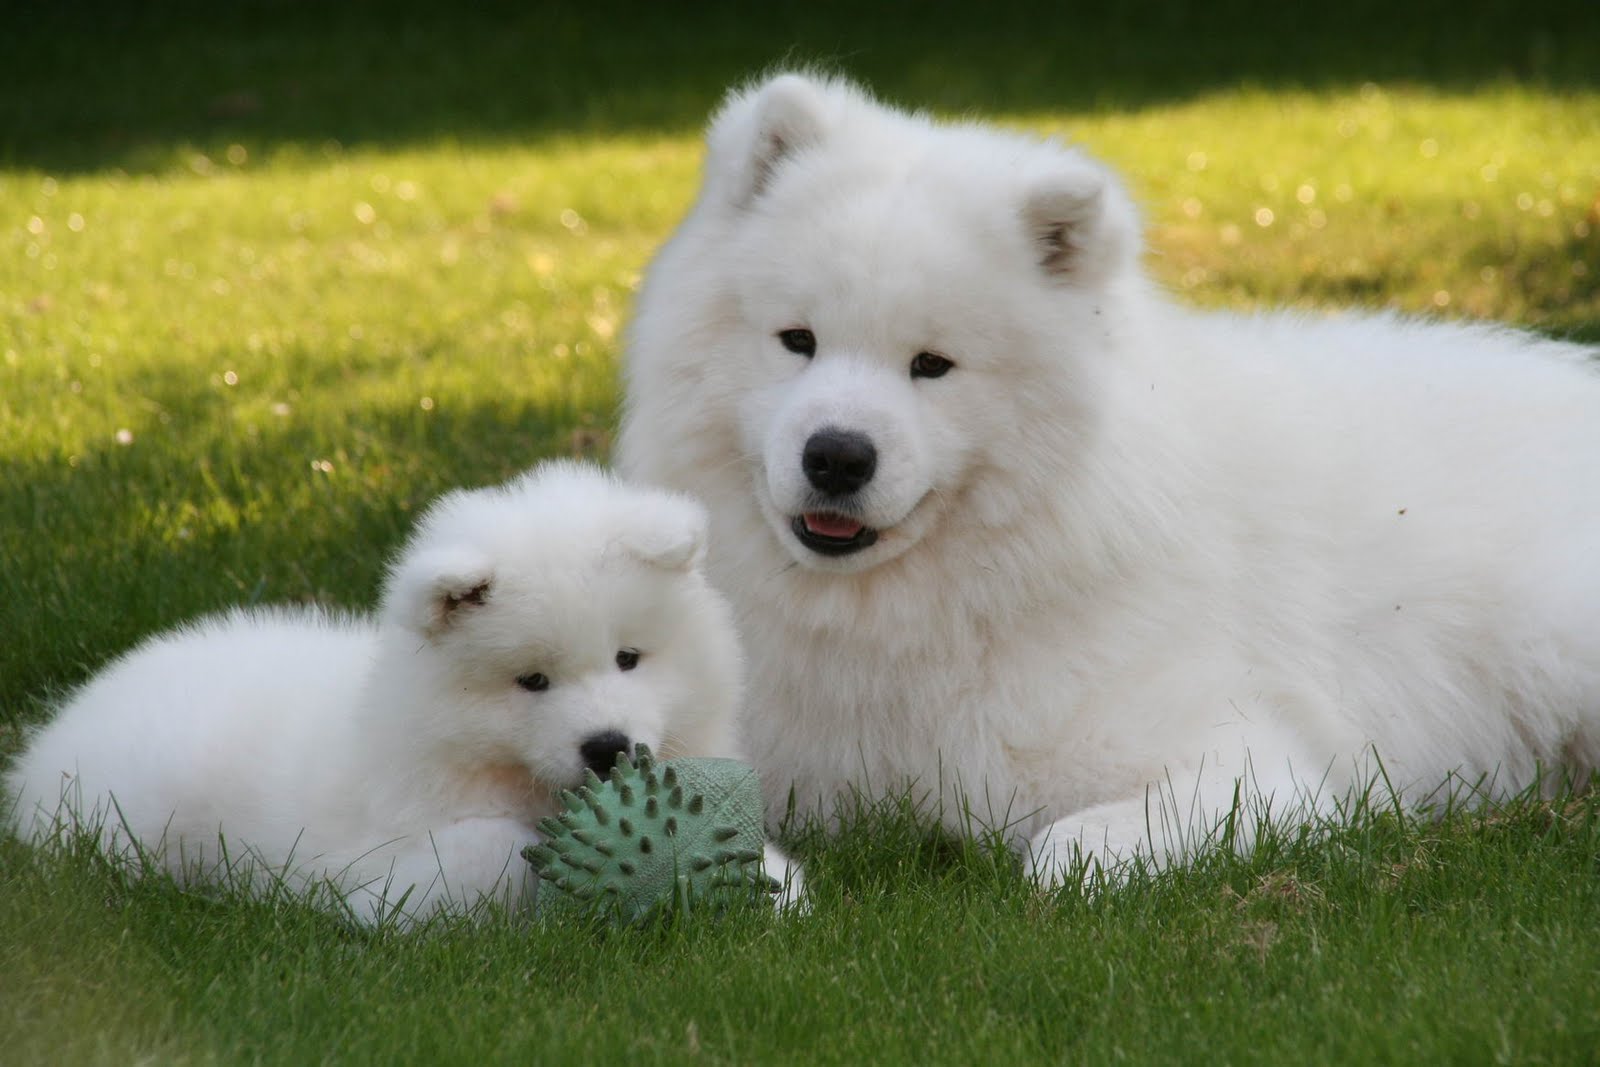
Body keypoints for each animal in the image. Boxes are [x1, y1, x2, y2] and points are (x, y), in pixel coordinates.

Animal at [6, 463, 793, 921]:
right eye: (532, 681)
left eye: (629, 658)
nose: (608, 747)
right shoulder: (380, 859)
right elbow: (493, 852)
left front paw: (779, 892)